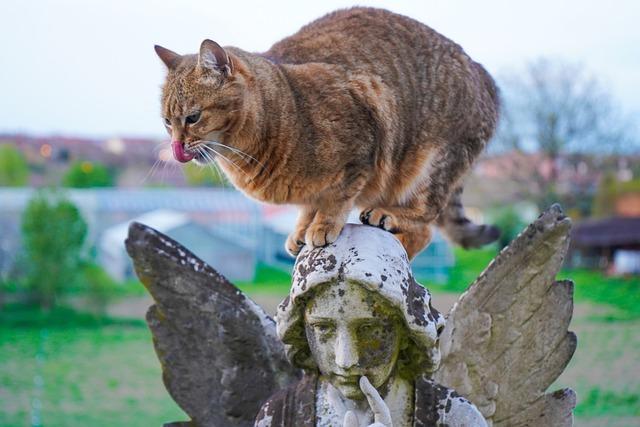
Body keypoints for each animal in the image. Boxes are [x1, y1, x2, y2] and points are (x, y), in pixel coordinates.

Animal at [154, 8, 500, 260]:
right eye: (167, 122)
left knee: (426, 219)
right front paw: (302, 228)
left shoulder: (363, 140)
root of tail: (485, 74)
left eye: (193, 118)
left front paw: (322, 225)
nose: (175, 146)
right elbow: (311, 202)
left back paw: (387, 216)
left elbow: (338, 195)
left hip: (434, 161)